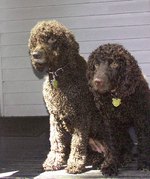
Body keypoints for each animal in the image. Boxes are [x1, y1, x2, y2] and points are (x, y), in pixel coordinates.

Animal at [86, 43, 150, 172]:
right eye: (95, 64)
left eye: (114, 64)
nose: (97, 82)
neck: (116, 97)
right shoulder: (109, 121)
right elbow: (112, 144)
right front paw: (110, 164)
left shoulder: (141, 118)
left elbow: (144, 140)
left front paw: (144, 163)